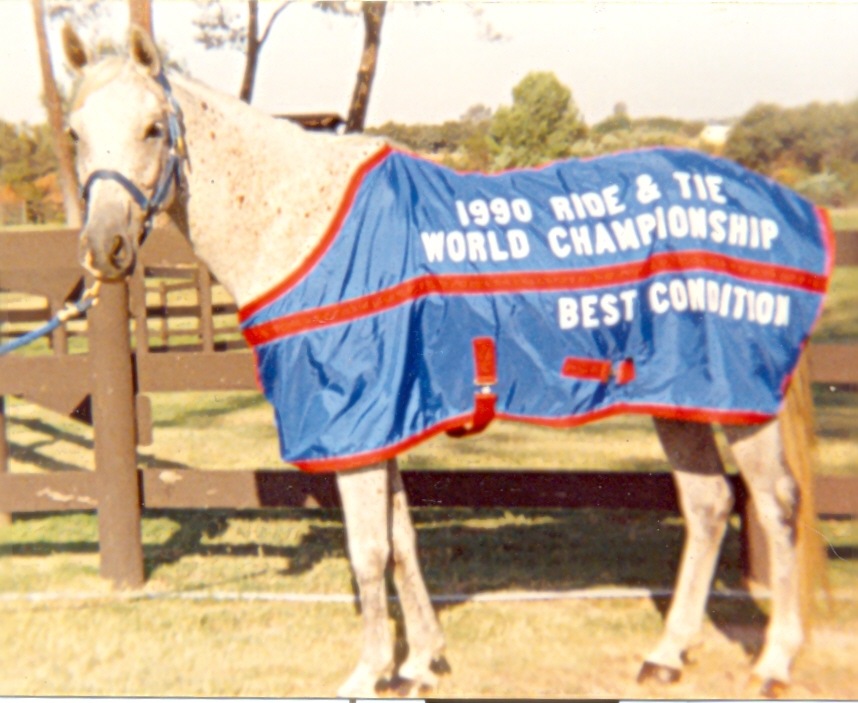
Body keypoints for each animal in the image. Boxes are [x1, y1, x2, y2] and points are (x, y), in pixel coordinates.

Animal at [61, 23, 824, 700]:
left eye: (153, 128)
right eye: (73, 132)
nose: (105, 248)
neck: (305, 224)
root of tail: (777, 202)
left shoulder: (357, 426)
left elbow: (369, 550)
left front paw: (369, 672)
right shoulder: (383, 424)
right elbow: (401, 541)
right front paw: (421, 662)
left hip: (738, 405)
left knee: (774, 503)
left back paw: (774, 663)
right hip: (678, 398)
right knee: (710, 504)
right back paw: (666, 656)